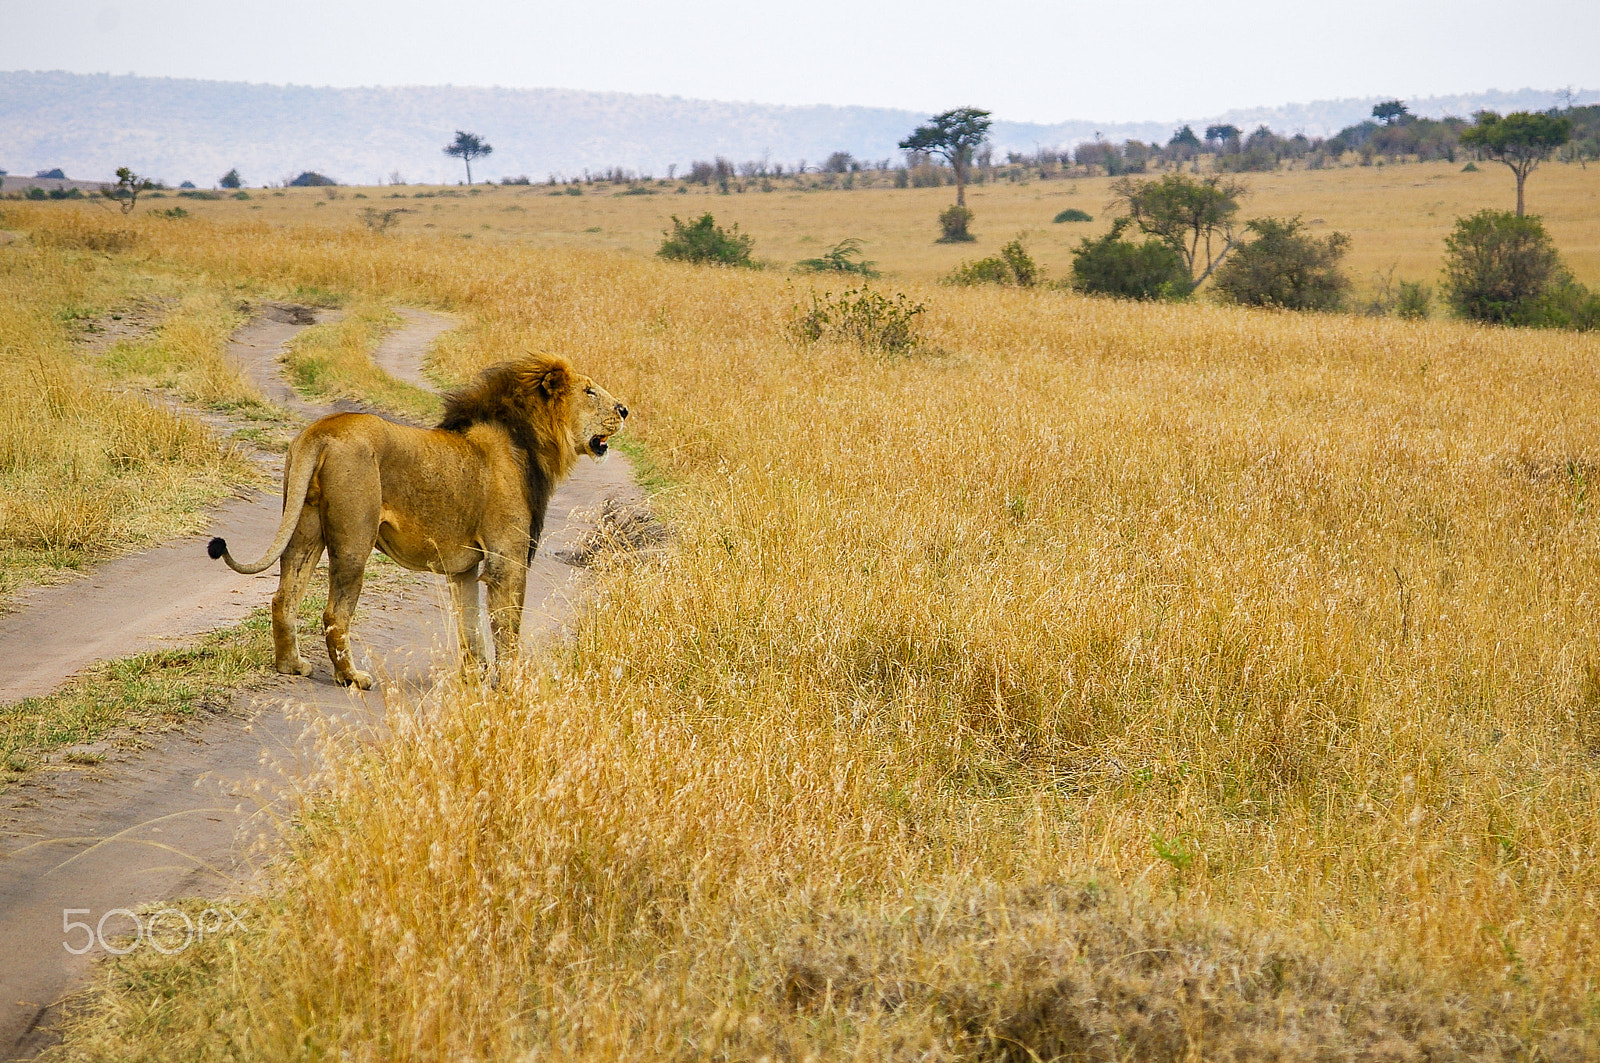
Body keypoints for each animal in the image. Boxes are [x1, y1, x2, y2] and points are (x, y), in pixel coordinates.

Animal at [211, 357, 630, 688]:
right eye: (590, 391)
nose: (625, 409)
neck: (526, 439)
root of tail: (322, 431)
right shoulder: (506, 559)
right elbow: (506, 627)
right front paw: (512, 682)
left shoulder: (465, 568)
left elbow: (469, 625)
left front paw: (473, 676)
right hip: (354, 539)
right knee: (334, 613)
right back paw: (351, 677)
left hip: (304, 529)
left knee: (284, 598)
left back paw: (291, 665)